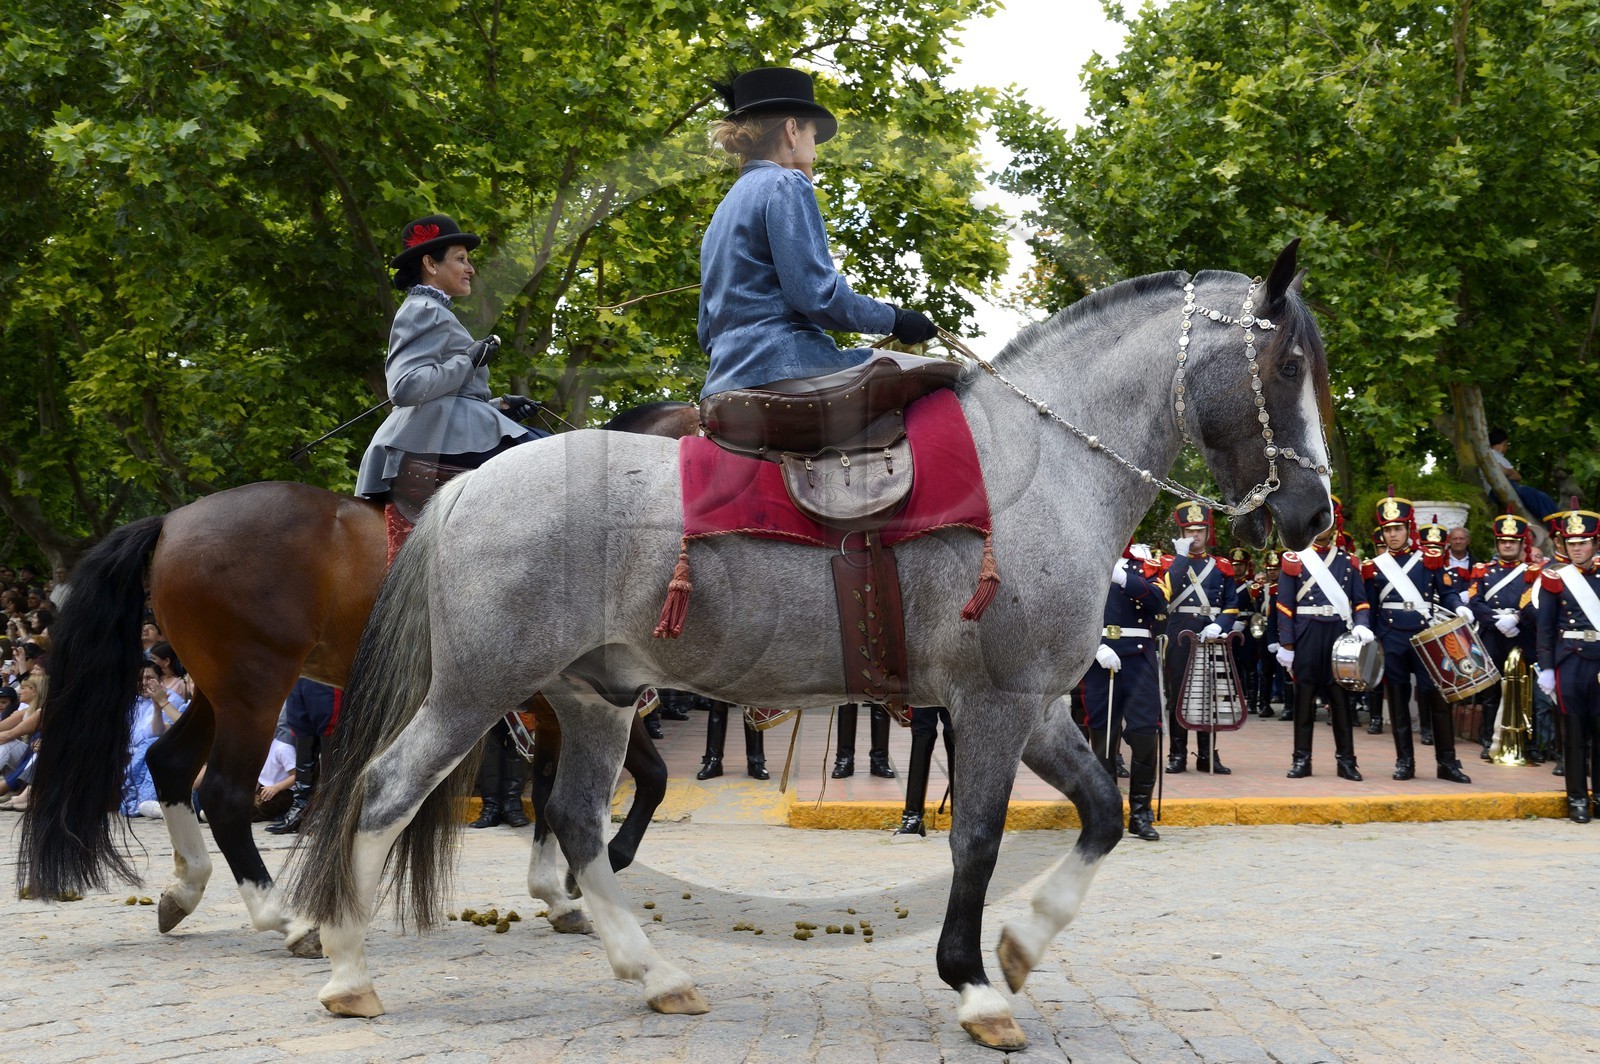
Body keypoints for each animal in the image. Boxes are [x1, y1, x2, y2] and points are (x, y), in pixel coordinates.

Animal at [16, 401, 699, 954]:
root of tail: (174, 521)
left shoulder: (558, 705)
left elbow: (560, 790)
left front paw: (558, 893)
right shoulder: (588, 698)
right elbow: (641, 779)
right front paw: (601, 866)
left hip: (218, 691)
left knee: (170, 763)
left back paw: (185, 890)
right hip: (255, 688)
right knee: (225, 794)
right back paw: (287, 919)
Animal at [288, 243, 1334, 1049]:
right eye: (1287, 365)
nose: (1314, 514)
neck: (1041, 467)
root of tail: (471, 482)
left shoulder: (1037, 707)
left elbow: (1104, 814)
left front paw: (1023, 945)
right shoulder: (993, 706)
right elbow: (978, 835)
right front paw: (975, 983)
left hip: (594, 698)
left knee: (578, 820)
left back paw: (653, 971)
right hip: (476, 689)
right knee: (384, 791)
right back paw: (345, 969)